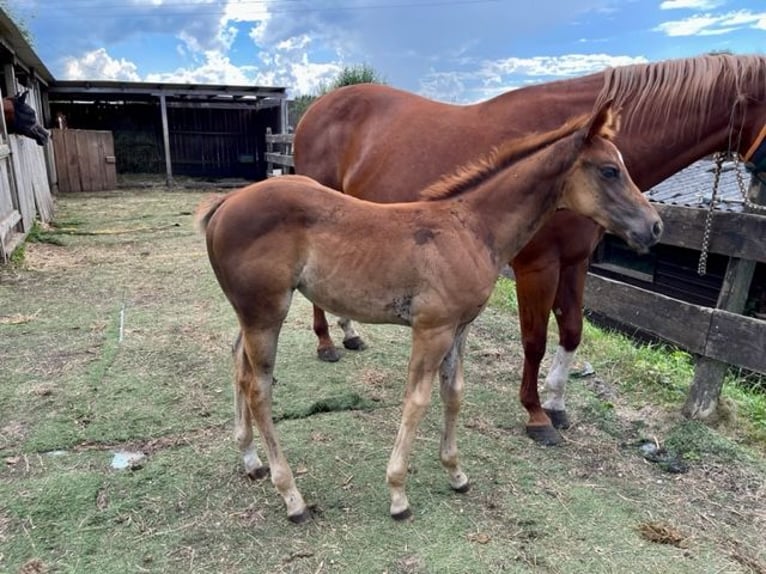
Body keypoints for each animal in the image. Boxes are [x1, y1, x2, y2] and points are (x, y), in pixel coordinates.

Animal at [200, 101, 664, 524]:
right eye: (610, 170)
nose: (655, 226)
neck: (471, 227)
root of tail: (226, 203)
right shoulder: (432, 329)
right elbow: (417, 399)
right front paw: (398, 493)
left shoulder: (459, 328)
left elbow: (453, 393)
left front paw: (456, 473)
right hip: (266, 313)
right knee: (258, 389)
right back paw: (292, 496)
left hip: (253, 313)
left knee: (238, 363)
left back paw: (250, 458)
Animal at [294, 53, 766, 446]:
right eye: (610, 170)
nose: (654, 228)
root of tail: (316, 109)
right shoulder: (537, 266)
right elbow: (535, 339)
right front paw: (536, 415)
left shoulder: (575, 263)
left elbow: (572, 330)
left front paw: (557, 404)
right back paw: (326, 343)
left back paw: (350, 332)